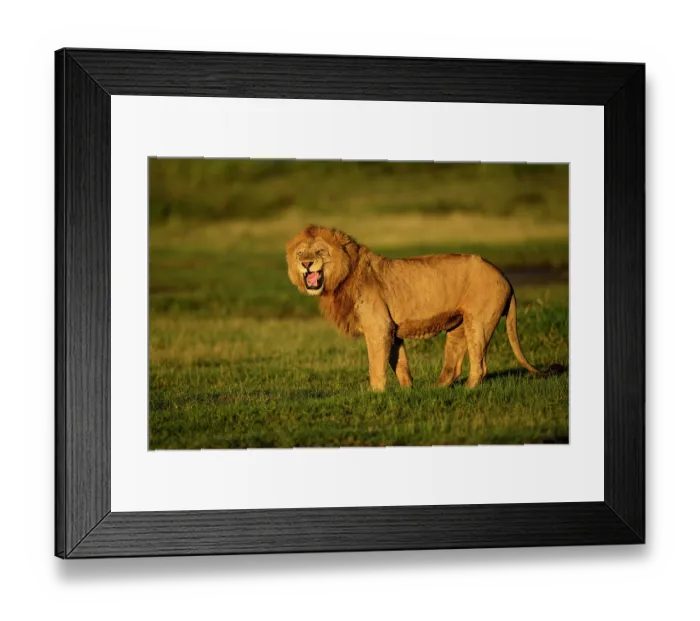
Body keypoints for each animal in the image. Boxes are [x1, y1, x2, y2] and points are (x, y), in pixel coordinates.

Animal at [286, 225, 561, 392]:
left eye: (319, 251)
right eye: (300, 253)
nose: (306, 264)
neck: (341, 279)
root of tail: (504, 275)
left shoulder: (378, 328)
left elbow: (376, 365)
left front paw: (375, 394)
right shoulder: (391, 330)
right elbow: (400, 364)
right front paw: (408, 391)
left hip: (479, 322)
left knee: (480, 365)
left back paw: (468, 391)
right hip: (459, 326)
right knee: (453, 367)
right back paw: (436, 390)